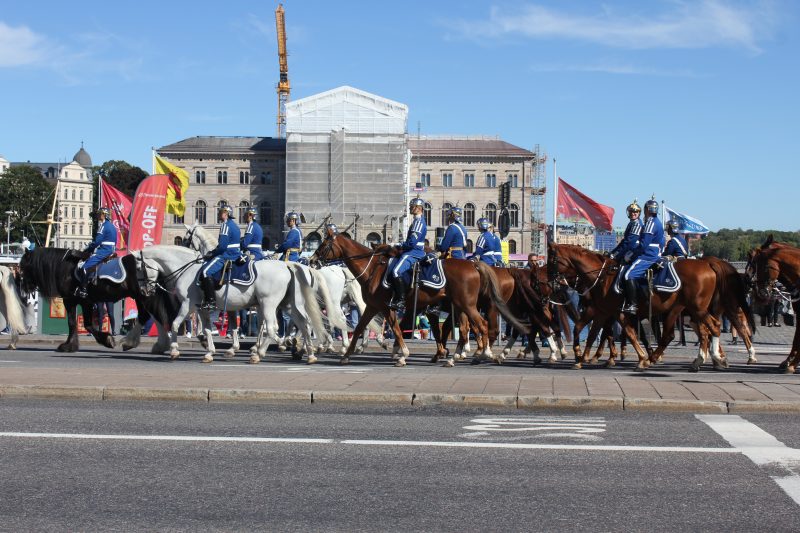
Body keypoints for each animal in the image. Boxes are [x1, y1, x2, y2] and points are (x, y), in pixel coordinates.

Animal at [18, 246, 173, 354]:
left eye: (23, 266)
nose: (24, 288)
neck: (66, 268)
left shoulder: (71, 300)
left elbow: (75, 323)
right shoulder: (85, 302)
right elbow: (84, 324)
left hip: (142, 296)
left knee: (149, 316)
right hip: (141, 296)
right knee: (151, 316)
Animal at [314, 233, 532, 366]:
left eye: (324, 244)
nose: (313, 260)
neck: (374, 268)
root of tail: (474, 265)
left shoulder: (390, 307)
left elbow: (398, 329)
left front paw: (403, 353)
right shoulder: (376, 307)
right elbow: (363, 327)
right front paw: (347, 355)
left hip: (468, 306)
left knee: (485, 327)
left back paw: (483, 353)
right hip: (463, 306)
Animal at [552, 241, 724, 370]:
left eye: (551, 260)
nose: (553, 282)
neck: (601, 276)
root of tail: (707, 264)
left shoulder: (610, 312)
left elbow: (624, 334)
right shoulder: (605, 312)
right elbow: (597, 333)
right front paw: (584, 358)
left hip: (695, 309)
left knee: (711, 328)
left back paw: (714, 358)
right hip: (684, 311)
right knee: (686, 333)